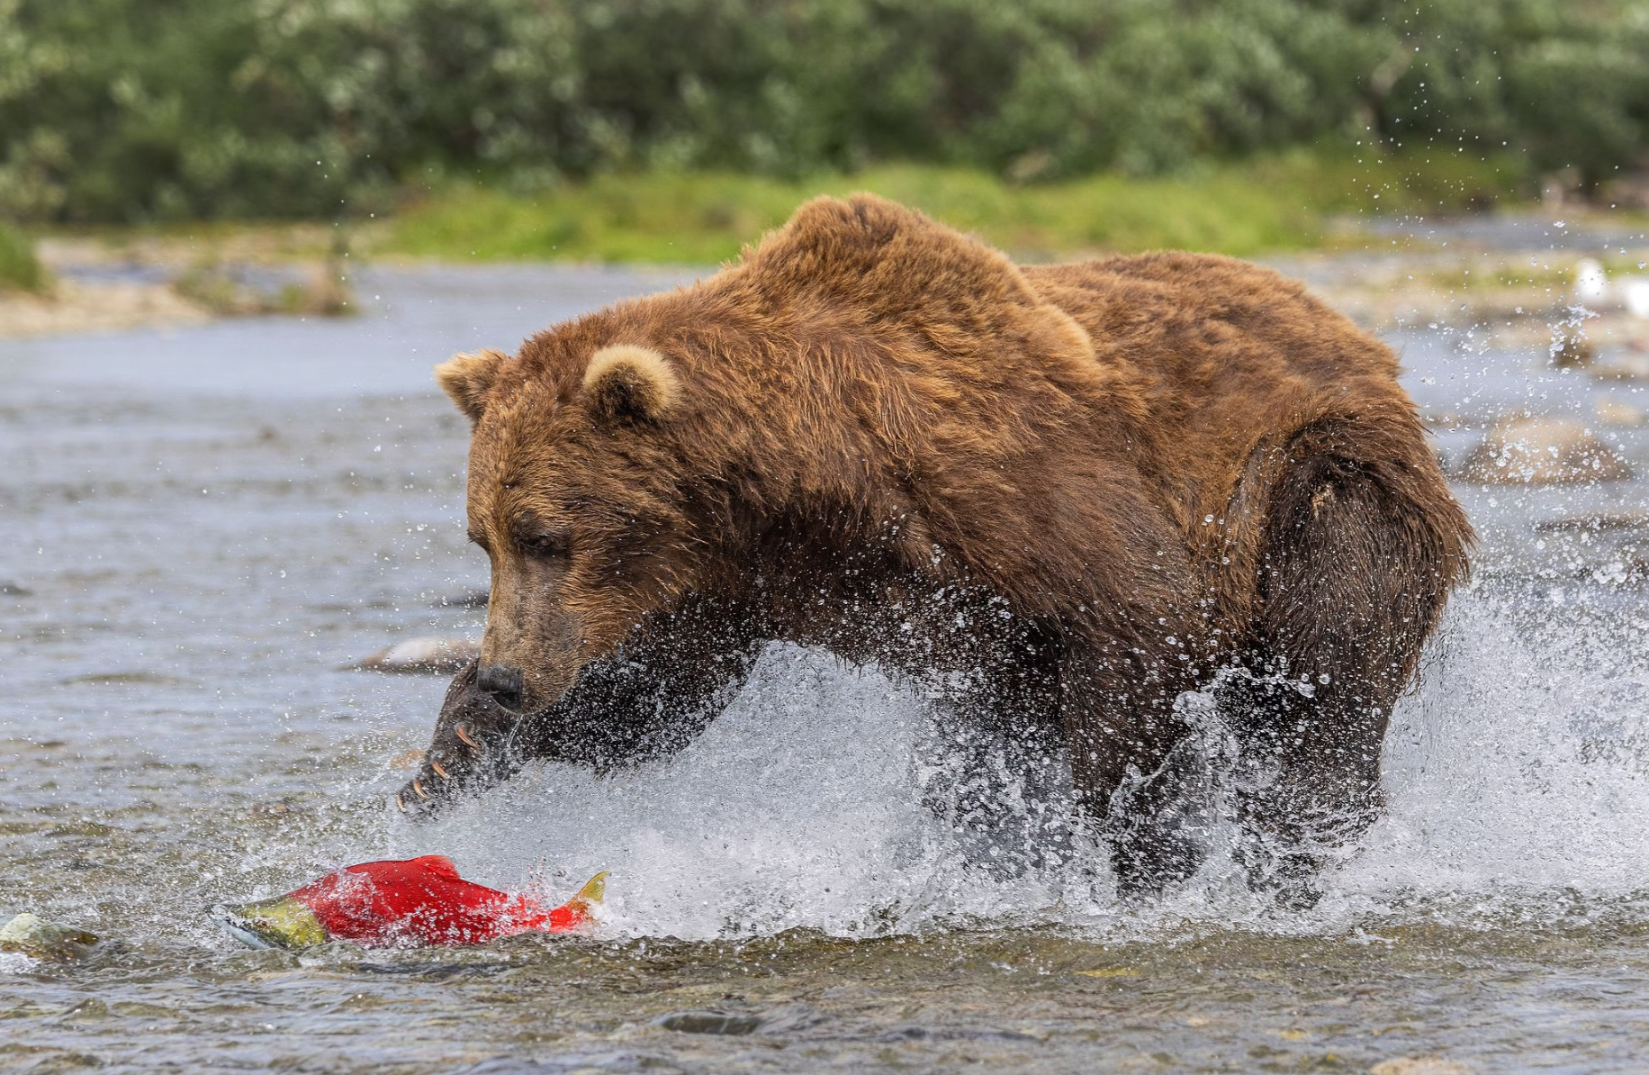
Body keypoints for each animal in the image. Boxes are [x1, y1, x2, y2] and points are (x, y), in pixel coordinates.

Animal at [395, 193, 1472, 904]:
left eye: (546, 534)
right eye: (482, 537)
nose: (506, 674)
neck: (811, 479)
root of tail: (1359, 339)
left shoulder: (1027, 492)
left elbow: (1146, 631)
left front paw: (1143, 857)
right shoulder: (736, 579)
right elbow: (653, 704)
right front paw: (448, 755)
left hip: (1321, 485)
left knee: (1318, 691)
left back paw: (1293, 855)